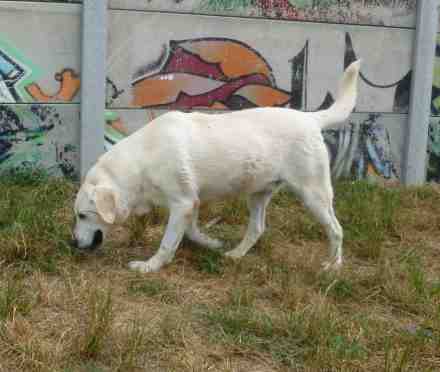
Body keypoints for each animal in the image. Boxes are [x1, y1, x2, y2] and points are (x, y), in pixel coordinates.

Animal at [73, 59, 360, 272]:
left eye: (82, 216)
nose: (72, 243)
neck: (143, 158)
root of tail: (311, 118)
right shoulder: (191, 203)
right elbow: (191, 231)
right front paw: (210, 243)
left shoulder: (182, 203)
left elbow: (167, 243)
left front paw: (149, 266)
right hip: (258, 195)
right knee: (257, 229)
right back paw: (235, 255)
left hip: (314, 195)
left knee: (337, 230)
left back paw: (333, 266)